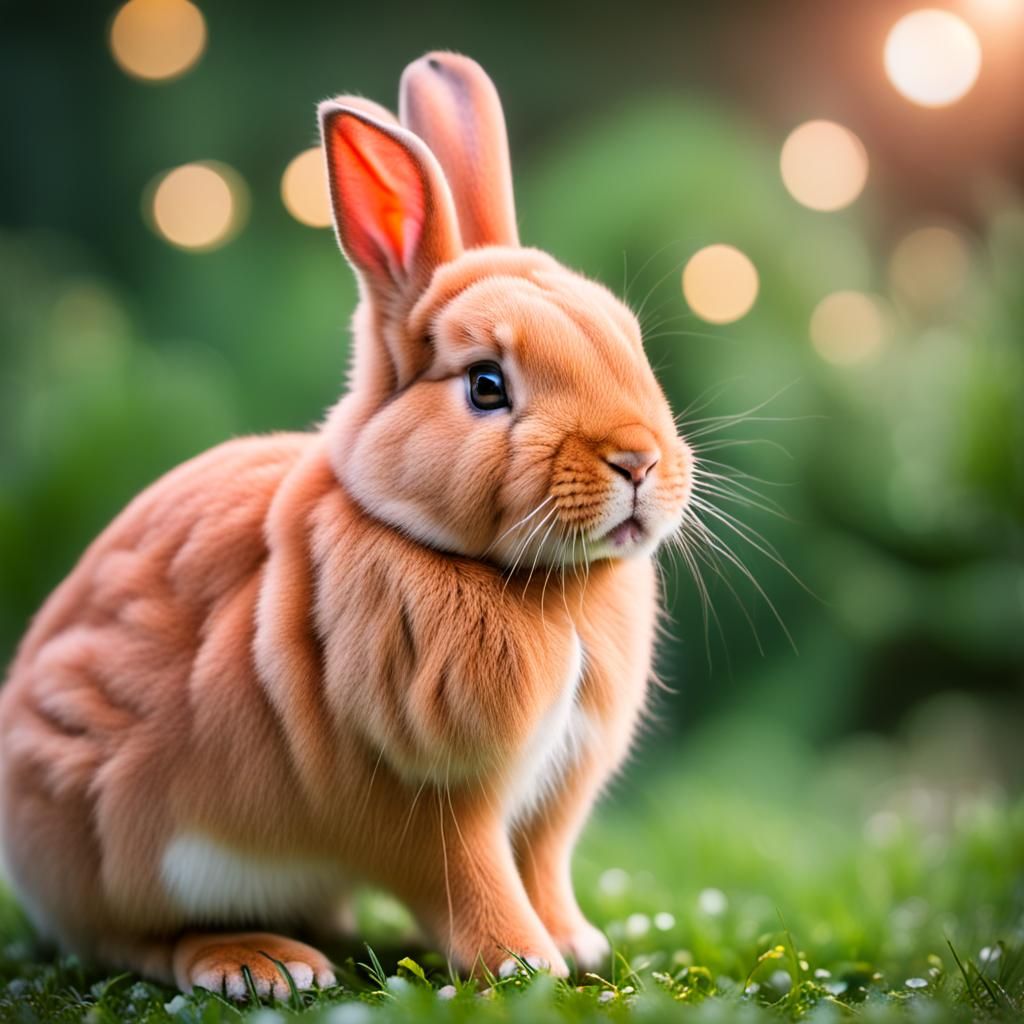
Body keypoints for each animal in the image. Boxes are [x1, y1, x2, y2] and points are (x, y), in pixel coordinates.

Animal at [0, 51, 693, 997]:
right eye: (486, 385)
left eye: (628, 340)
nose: (639, 461)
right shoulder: (430, 803)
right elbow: (475, 882)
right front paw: (525, 966)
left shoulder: (550, 801)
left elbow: (541, 870)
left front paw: (579, 945)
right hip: (126, 843)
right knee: (131, 943)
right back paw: (262, 964)